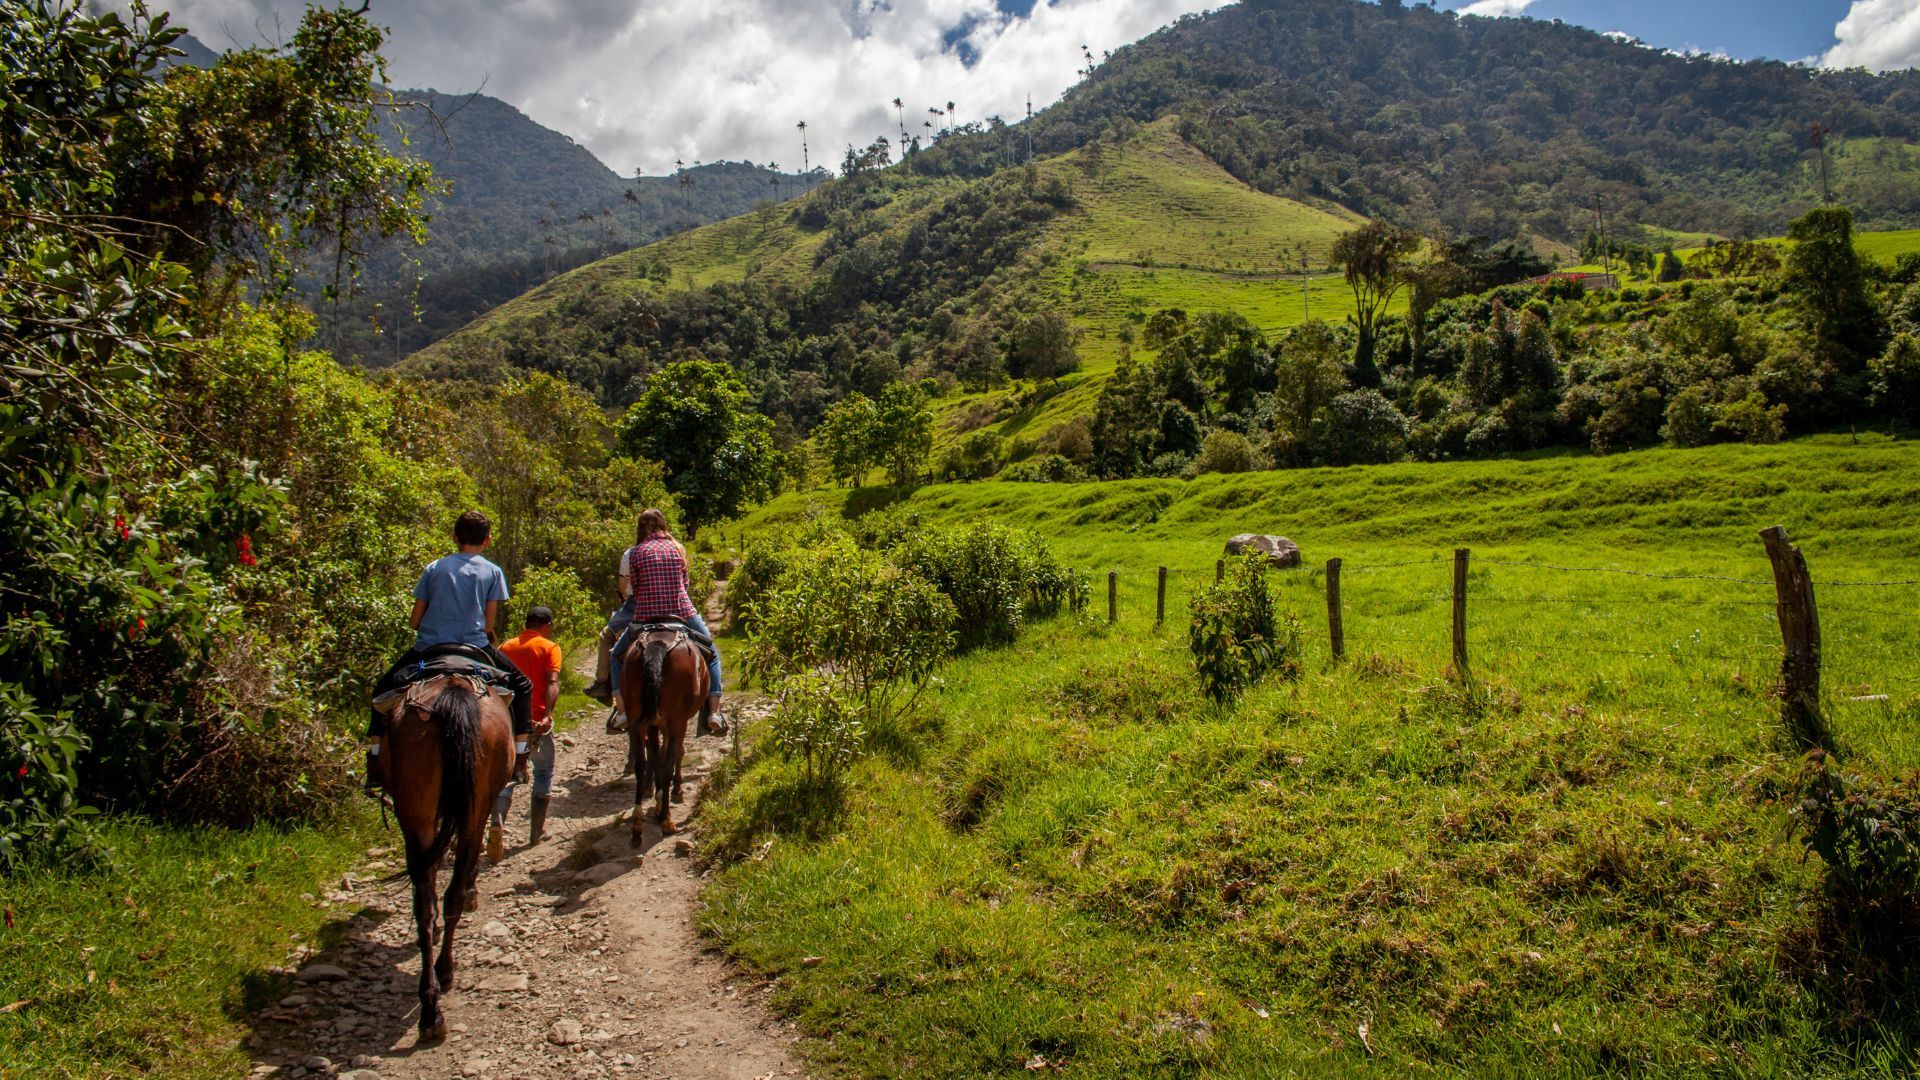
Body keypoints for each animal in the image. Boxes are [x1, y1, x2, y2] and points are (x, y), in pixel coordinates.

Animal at [378, 672, 514, 1037]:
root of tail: (452, 694)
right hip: (460, 806)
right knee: (439, 894)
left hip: (419, 812)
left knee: (428, 901)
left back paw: (432, 1001)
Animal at [618, 622, 710, 841]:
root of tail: (657, 643)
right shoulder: (677, 721)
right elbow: (675, 754)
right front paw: (675, 791)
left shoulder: (655, 723)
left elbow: (656, 756)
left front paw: (658, 800)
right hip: (676, 719)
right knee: (667, 763)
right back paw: (667, 821)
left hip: (638, 718)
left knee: (641, 764)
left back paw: (637, 826)